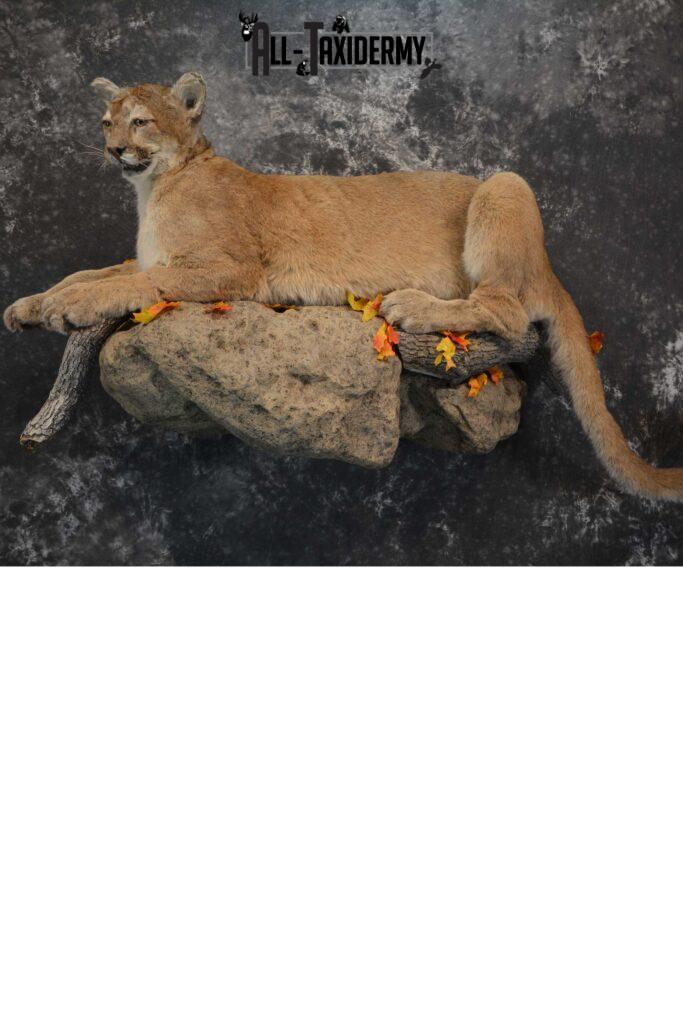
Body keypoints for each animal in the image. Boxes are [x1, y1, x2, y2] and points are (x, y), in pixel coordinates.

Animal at [4, 71, 682, 500]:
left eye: (140, 122)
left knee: (506, 310)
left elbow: (135, 284)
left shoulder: (230, 269)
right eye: (105, 122)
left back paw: (412, 306)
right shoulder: (146, 257)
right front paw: (32, 305)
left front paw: (69, 309)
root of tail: (549, 266)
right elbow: (97, 272)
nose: (113, 149)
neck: (156, 185)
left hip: (504, 184)